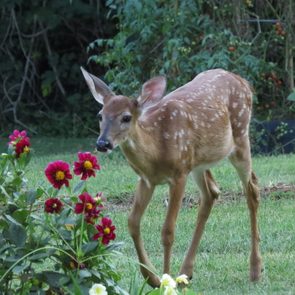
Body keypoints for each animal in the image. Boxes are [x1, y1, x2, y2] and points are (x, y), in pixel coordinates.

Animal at [81, 67, 264, 286]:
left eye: (126, 117)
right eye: (100, 115)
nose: (102, 143)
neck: (156, 149)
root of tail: (242, 80)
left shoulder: (178, 174)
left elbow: (167, 231)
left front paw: (165, 279)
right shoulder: (147, 180)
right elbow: (133, 222)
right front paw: (152, 278)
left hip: (240, 137)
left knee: (252, 190)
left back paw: (256, 269)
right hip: (198, 163)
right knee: (211, 193)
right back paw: (186, 272)